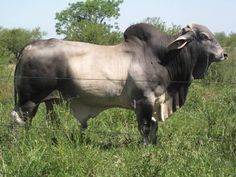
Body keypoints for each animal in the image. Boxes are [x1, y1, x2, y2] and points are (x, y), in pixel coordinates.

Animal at [10, 23, 227, 145]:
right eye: (204, 37)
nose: (224, 54)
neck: (163, 57)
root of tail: (29, 46)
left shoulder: (156, 101)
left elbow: (154, 127)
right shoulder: (144, 100)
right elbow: (146, 127)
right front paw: (146, 150)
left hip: (40, 101)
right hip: (29, 99)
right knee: (18, 120)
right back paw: (20, 145)